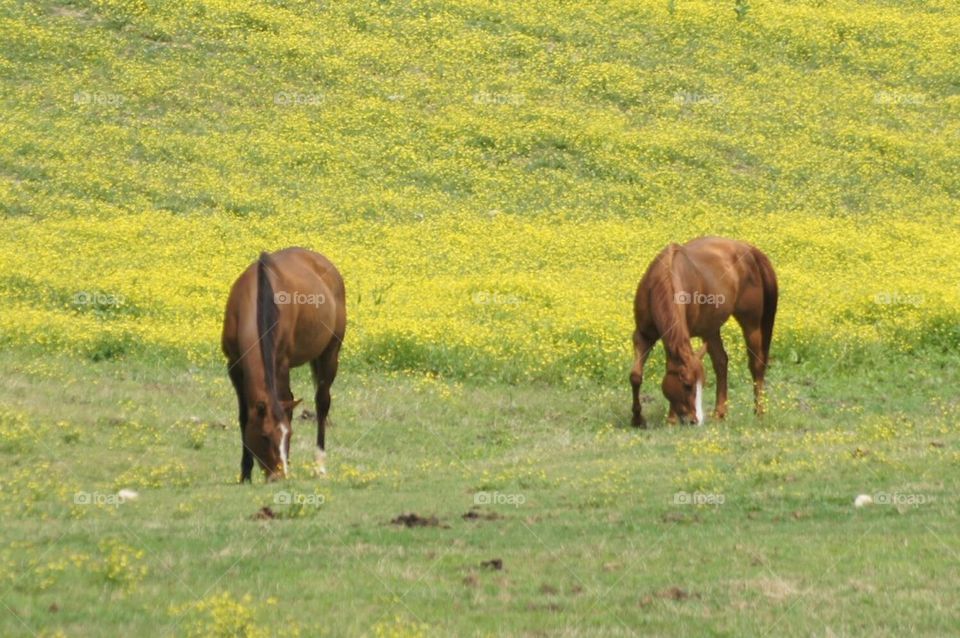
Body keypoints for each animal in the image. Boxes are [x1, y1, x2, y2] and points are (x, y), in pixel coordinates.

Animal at [221, 248, 346, 482]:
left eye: (289, 435)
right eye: (264, 436)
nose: (278, 476)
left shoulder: (280, 364)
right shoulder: (234, 366)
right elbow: (244, 416)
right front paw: (245, 474)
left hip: (330, 353)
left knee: (322, 404)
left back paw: (319, 466)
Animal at [629, 237, 777, 427]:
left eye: (702, 384)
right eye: (687, 385)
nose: (694, 420)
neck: (662, 280)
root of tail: (749, 249)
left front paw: (671, 419)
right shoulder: (642, 336)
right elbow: (635, 376)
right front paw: (637, 419)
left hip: (751, 323)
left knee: (756, 365)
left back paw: (758, 412)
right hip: (711, 329)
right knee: (721, 362)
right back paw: (719, 413)